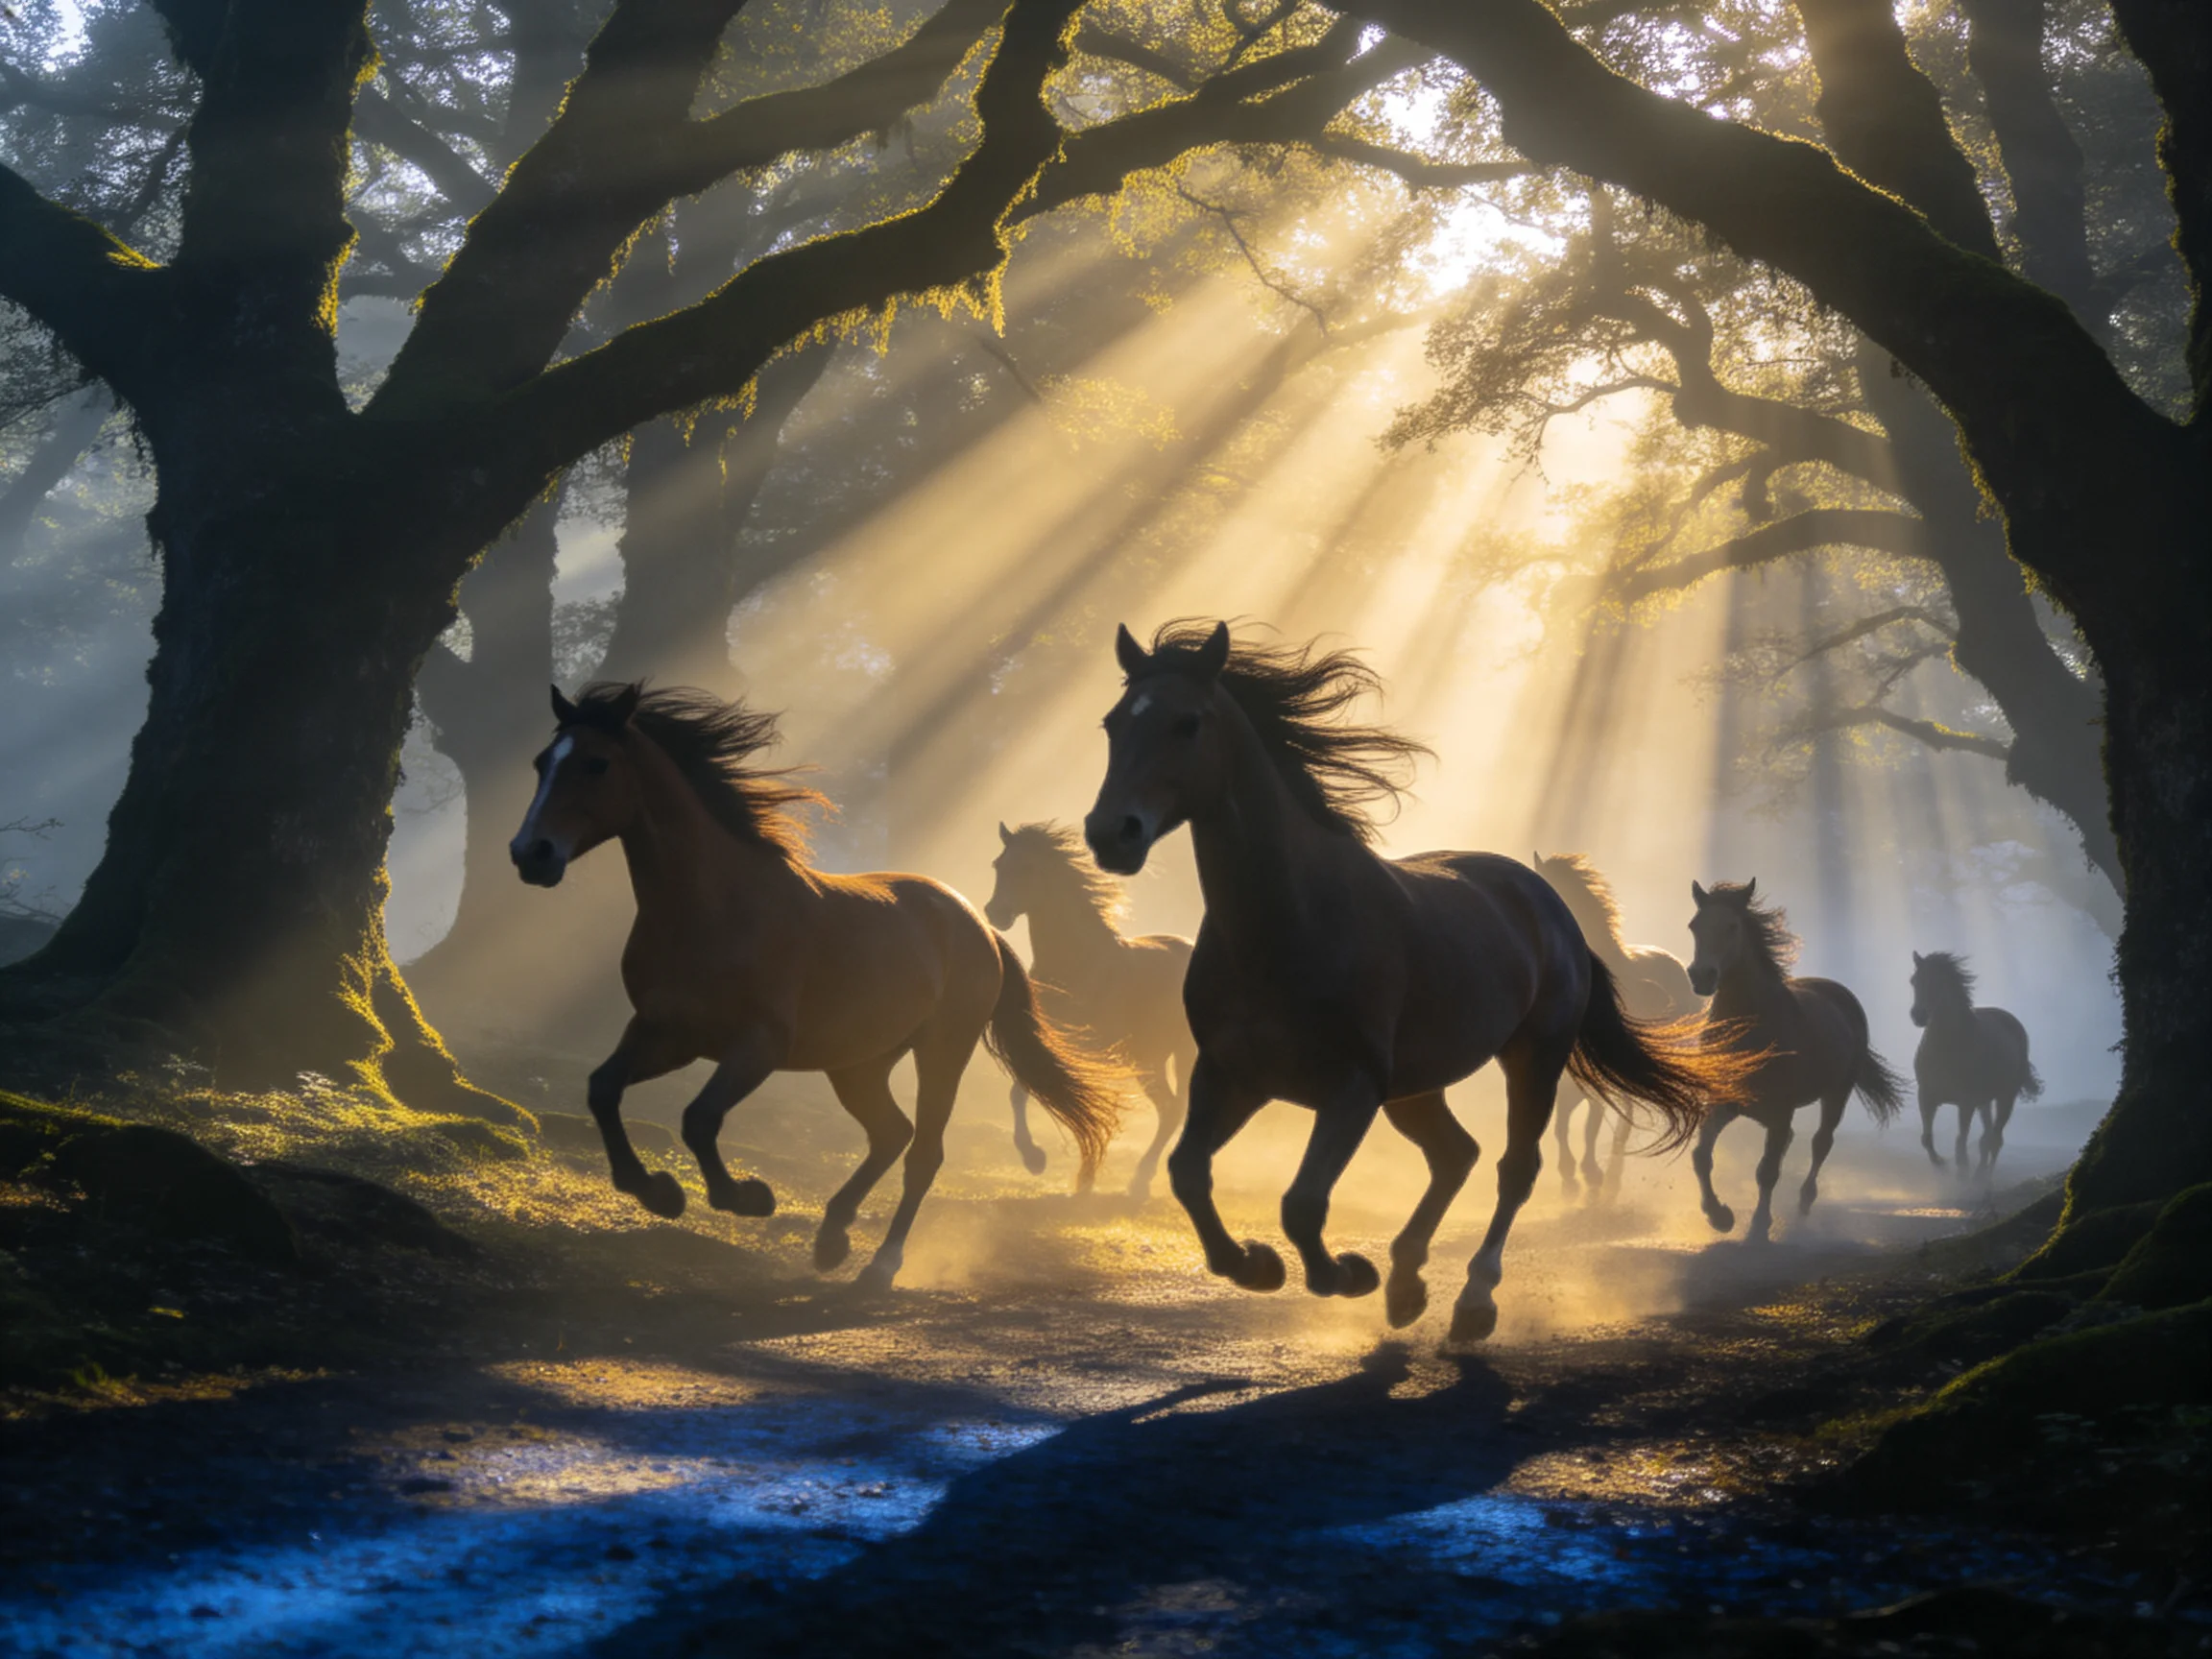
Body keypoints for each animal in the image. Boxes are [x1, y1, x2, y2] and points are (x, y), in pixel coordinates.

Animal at [509, 682, 1125, 1289]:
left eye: (596, 764)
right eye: (542, 762)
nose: (530, 854)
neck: (715, 909)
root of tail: (977, 922)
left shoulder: (757, 1046)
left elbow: (699, 1120)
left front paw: (749, 1198)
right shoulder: (666, 1033)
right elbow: (602, 1089)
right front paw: (658, 1192)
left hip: (942, 1052)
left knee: (923, 1152)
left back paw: (880, 1265)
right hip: (858, 1063)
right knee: (891, 1132)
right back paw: (832, 1238)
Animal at [984, 821, 1197, 1200]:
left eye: (1029, 868)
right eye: (999, 865)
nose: (996, 913)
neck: (1078, 965)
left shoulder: (1096, 1055)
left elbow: (1096, 1106)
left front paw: (1084, 1178)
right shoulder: (1043, 1044)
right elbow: (1020, 1093)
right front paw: (1034, 1159)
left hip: (1180, 1055)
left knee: (1175, 1110)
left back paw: (1140, 1181)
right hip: (1149, 1060)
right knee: (1168, 1108)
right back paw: (1139, 1181)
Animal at [1532, 852, 1704, 1201]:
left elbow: (1591, 1123)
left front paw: (1589, 1175)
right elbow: (1562, 1124)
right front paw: (1571, 1180)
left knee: (1624, 1121)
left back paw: (1610, 1179)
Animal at [1685, 879, 1906, 1241]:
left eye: (1732, 926)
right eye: (1694, 926)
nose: (1701, 976)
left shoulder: (1779, 1111)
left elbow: (1767, 1171)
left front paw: (1759, 1226)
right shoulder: (1722, 1103)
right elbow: (1701, 1156)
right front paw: (1720, 1217)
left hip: (1836, 1095)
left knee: (1820, 1144)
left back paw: (1804, 1202)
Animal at [1908, 949, 2042, 1180]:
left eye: (1939, 982)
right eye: (1914, 981)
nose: (1918, 1016)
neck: (1946, 1049)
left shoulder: (1966, 1103)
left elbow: (1961, 1142)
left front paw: (1962, 1173)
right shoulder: (1926, 1095)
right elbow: (1926, 1138)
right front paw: (1940, 1164)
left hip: (2006, 1097)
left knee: (1995, 1139)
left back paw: (1983, 1179)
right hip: (1985, 1102)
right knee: (1986, 1136)